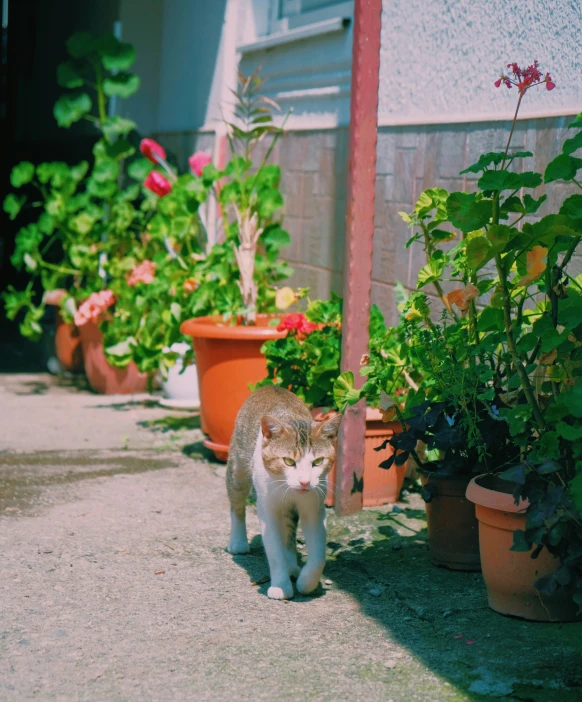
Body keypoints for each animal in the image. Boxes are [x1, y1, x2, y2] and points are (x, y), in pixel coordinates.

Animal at [225, 384, 342, 600]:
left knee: (288, 529)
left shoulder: (314, 508)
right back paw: (238, 542)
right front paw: (280, 586)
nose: (304, 481)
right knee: (236, 504)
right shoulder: (267, 509)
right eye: (288, 461)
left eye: (318, 461)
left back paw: (292, 566)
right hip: (238, 469)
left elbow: (318, 555)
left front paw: (307, 582)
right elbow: (274, 550)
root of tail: (269, 386)